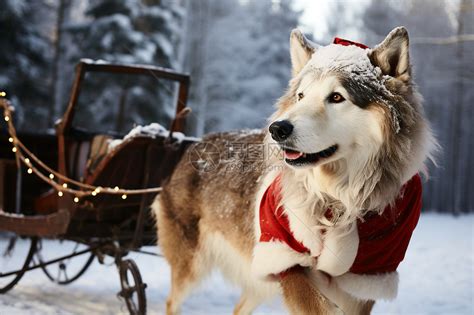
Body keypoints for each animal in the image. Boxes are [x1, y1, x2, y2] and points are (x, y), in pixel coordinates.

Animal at [153, 26, 436, 314]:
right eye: (301, 96)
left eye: (336, 97)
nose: (277, 129)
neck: (338, 196)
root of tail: (193, 145)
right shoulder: (283, 255)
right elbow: (316, 306)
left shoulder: (368, 276)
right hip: (193, 265)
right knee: (171, 301)